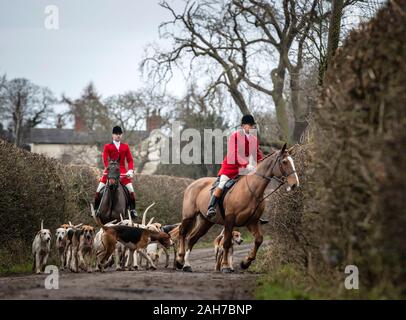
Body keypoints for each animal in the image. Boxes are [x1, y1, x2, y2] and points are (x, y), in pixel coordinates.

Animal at [176, 144, 300, 272]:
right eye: (284, 162)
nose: (295, 184)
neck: (252, 190)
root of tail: (192, 184)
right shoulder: (230, 220)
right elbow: (226, 242)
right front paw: (226, 266)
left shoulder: (252, 221)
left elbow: (259, 239)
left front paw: (245, 263)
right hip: (189, 216)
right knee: (182, 232)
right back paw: (180, 260)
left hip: (206, 221)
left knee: (192, 238)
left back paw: (187, 265)